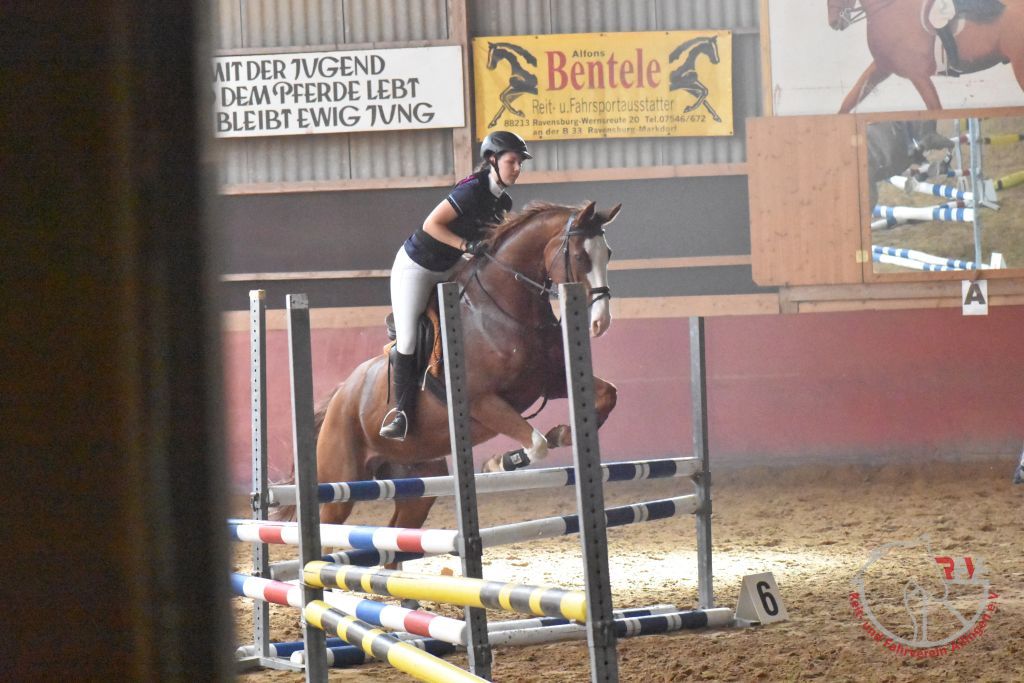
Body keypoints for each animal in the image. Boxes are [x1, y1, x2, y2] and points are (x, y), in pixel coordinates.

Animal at [295, 201, 621, 535]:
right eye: (581, 257)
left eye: (607, 253)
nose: (601, 321)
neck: (504, 310)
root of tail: (340, 395)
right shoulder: (482, 401)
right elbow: (536, 443)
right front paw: (500, 463)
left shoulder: (550, 381)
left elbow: (608, 395)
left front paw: (563, 434)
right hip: (340, 486)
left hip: (416, 481)